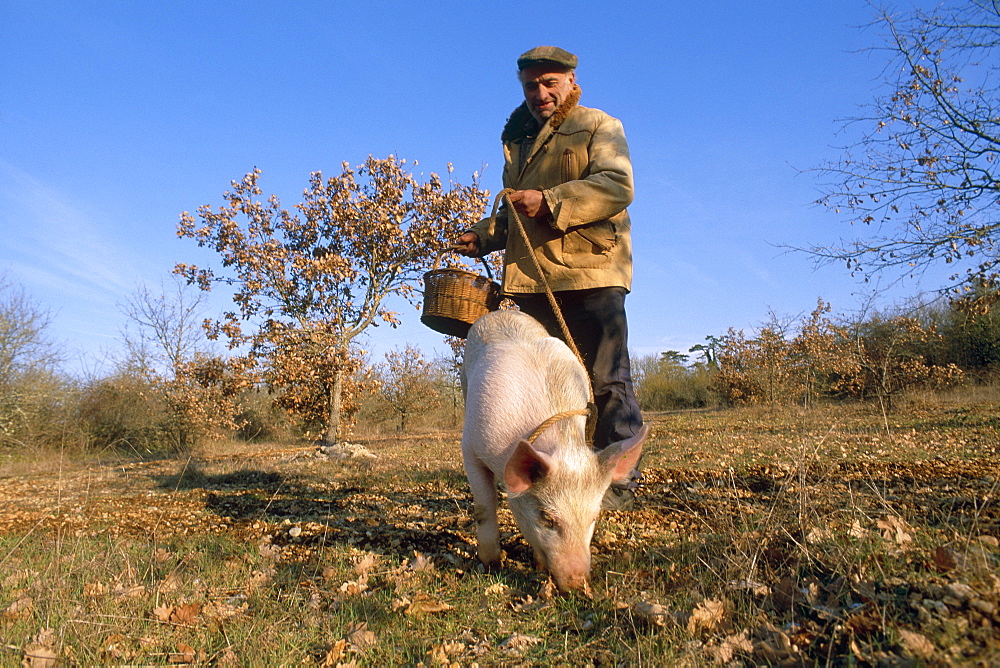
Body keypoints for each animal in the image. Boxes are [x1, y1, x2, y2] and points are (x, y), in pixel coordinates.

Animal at [460, 310, 648, 596]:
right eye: (547, 518)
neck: (561, 441)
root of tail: (502, 311)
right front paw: (491, 564)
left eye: (594, 517)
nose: (578, 584)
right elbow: (484, 505)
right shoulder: (470, 446)